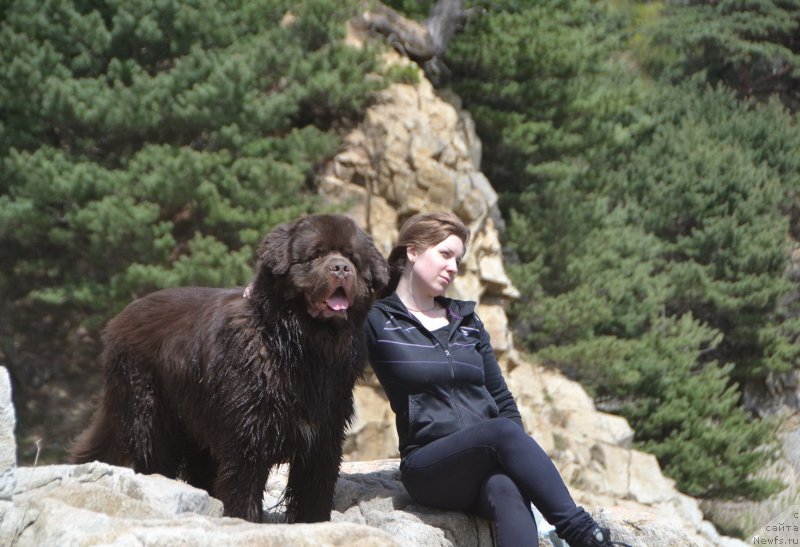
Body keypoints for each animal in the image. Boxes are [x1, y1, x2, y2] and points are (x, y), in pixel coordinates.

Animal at [70, 213, 390, 524]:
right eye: (316, 255)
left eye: (353, 259)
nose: (341, 268)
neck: (298, 347)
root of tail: (118, 320)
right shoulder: (247, 438)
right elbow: (243, 491)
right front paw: (244, 521)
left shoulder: (323, 438)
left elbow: (314, 493)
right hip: (149, 414)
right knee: (152, 457)